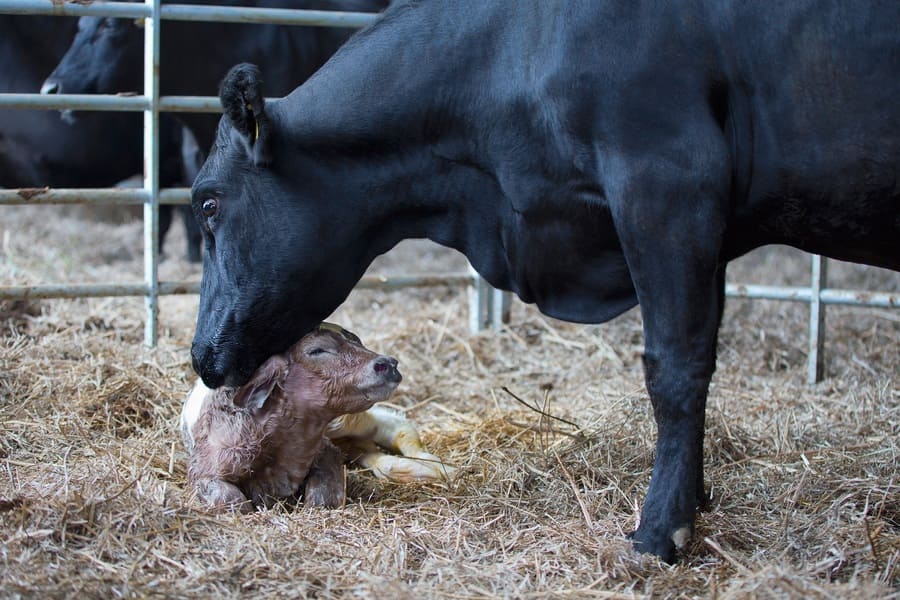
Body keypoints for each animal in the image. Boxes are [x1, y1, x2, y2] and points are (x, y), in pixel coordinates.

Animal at [187, 1, 900, 562]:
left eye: (208, 203)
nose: (200, 353)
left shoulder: (669, 186)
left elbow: (675, 369)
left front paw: (662, 530)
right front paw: (694, 497)